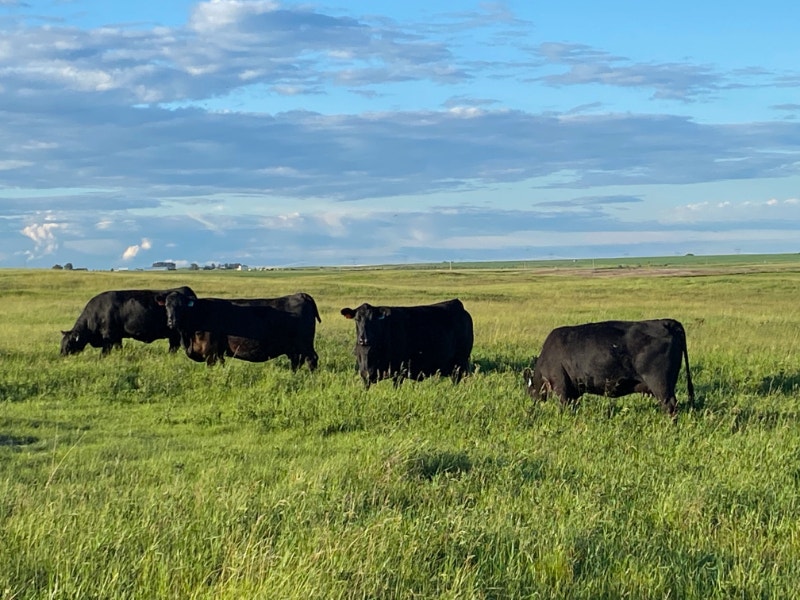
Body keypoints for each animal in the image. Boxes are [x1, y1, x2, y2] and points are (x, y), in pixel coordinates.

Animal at [60, 286, 196, 356]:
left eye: (69, 344)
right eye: (61, 344)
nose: (61, 357)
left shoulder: (109, 337)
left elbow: (104, 353)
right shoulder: (117, 338)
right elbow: (119, 348)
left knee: (174, 347)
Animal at [159, 290, 320, 371]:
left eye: (181, 306)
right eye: (166, 306)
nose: (171, 322)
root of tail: (301, 295)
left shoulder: (210, 351)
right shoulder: (219, 352)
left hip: (305, 343)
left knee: (311, 359)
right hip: (294, 347)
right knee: (296, 362)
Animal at [340, 298, 473, 388]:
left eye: (373, 319)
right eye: (357, 319)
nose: (363, 339)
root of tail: (458, 304)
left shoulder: (399, 371)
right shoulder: (365, 374)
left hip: (460, 362)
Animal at [522, 319, 695, 416]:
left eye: (529, 390)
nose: (532, 404)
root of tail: (667, 322)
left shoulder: (560, 384)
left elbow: (563, 405)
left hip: (660, 384)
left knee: (670, 406)